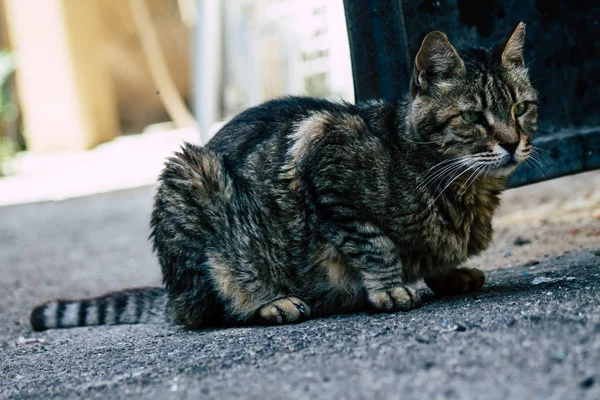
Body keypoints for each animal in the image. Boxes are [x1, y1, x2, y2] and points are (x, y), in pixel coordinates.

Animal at [30, 20, 540, 330]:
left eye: (520, 108)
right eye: (473, 117)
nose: (511, 142)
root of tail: (170, 293)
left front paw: (447, 273)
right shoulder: (325, 156)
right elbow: (375, 243)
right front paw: (390, 287)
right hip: (191, 179)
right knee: (206, 310)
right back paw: (268, 301)